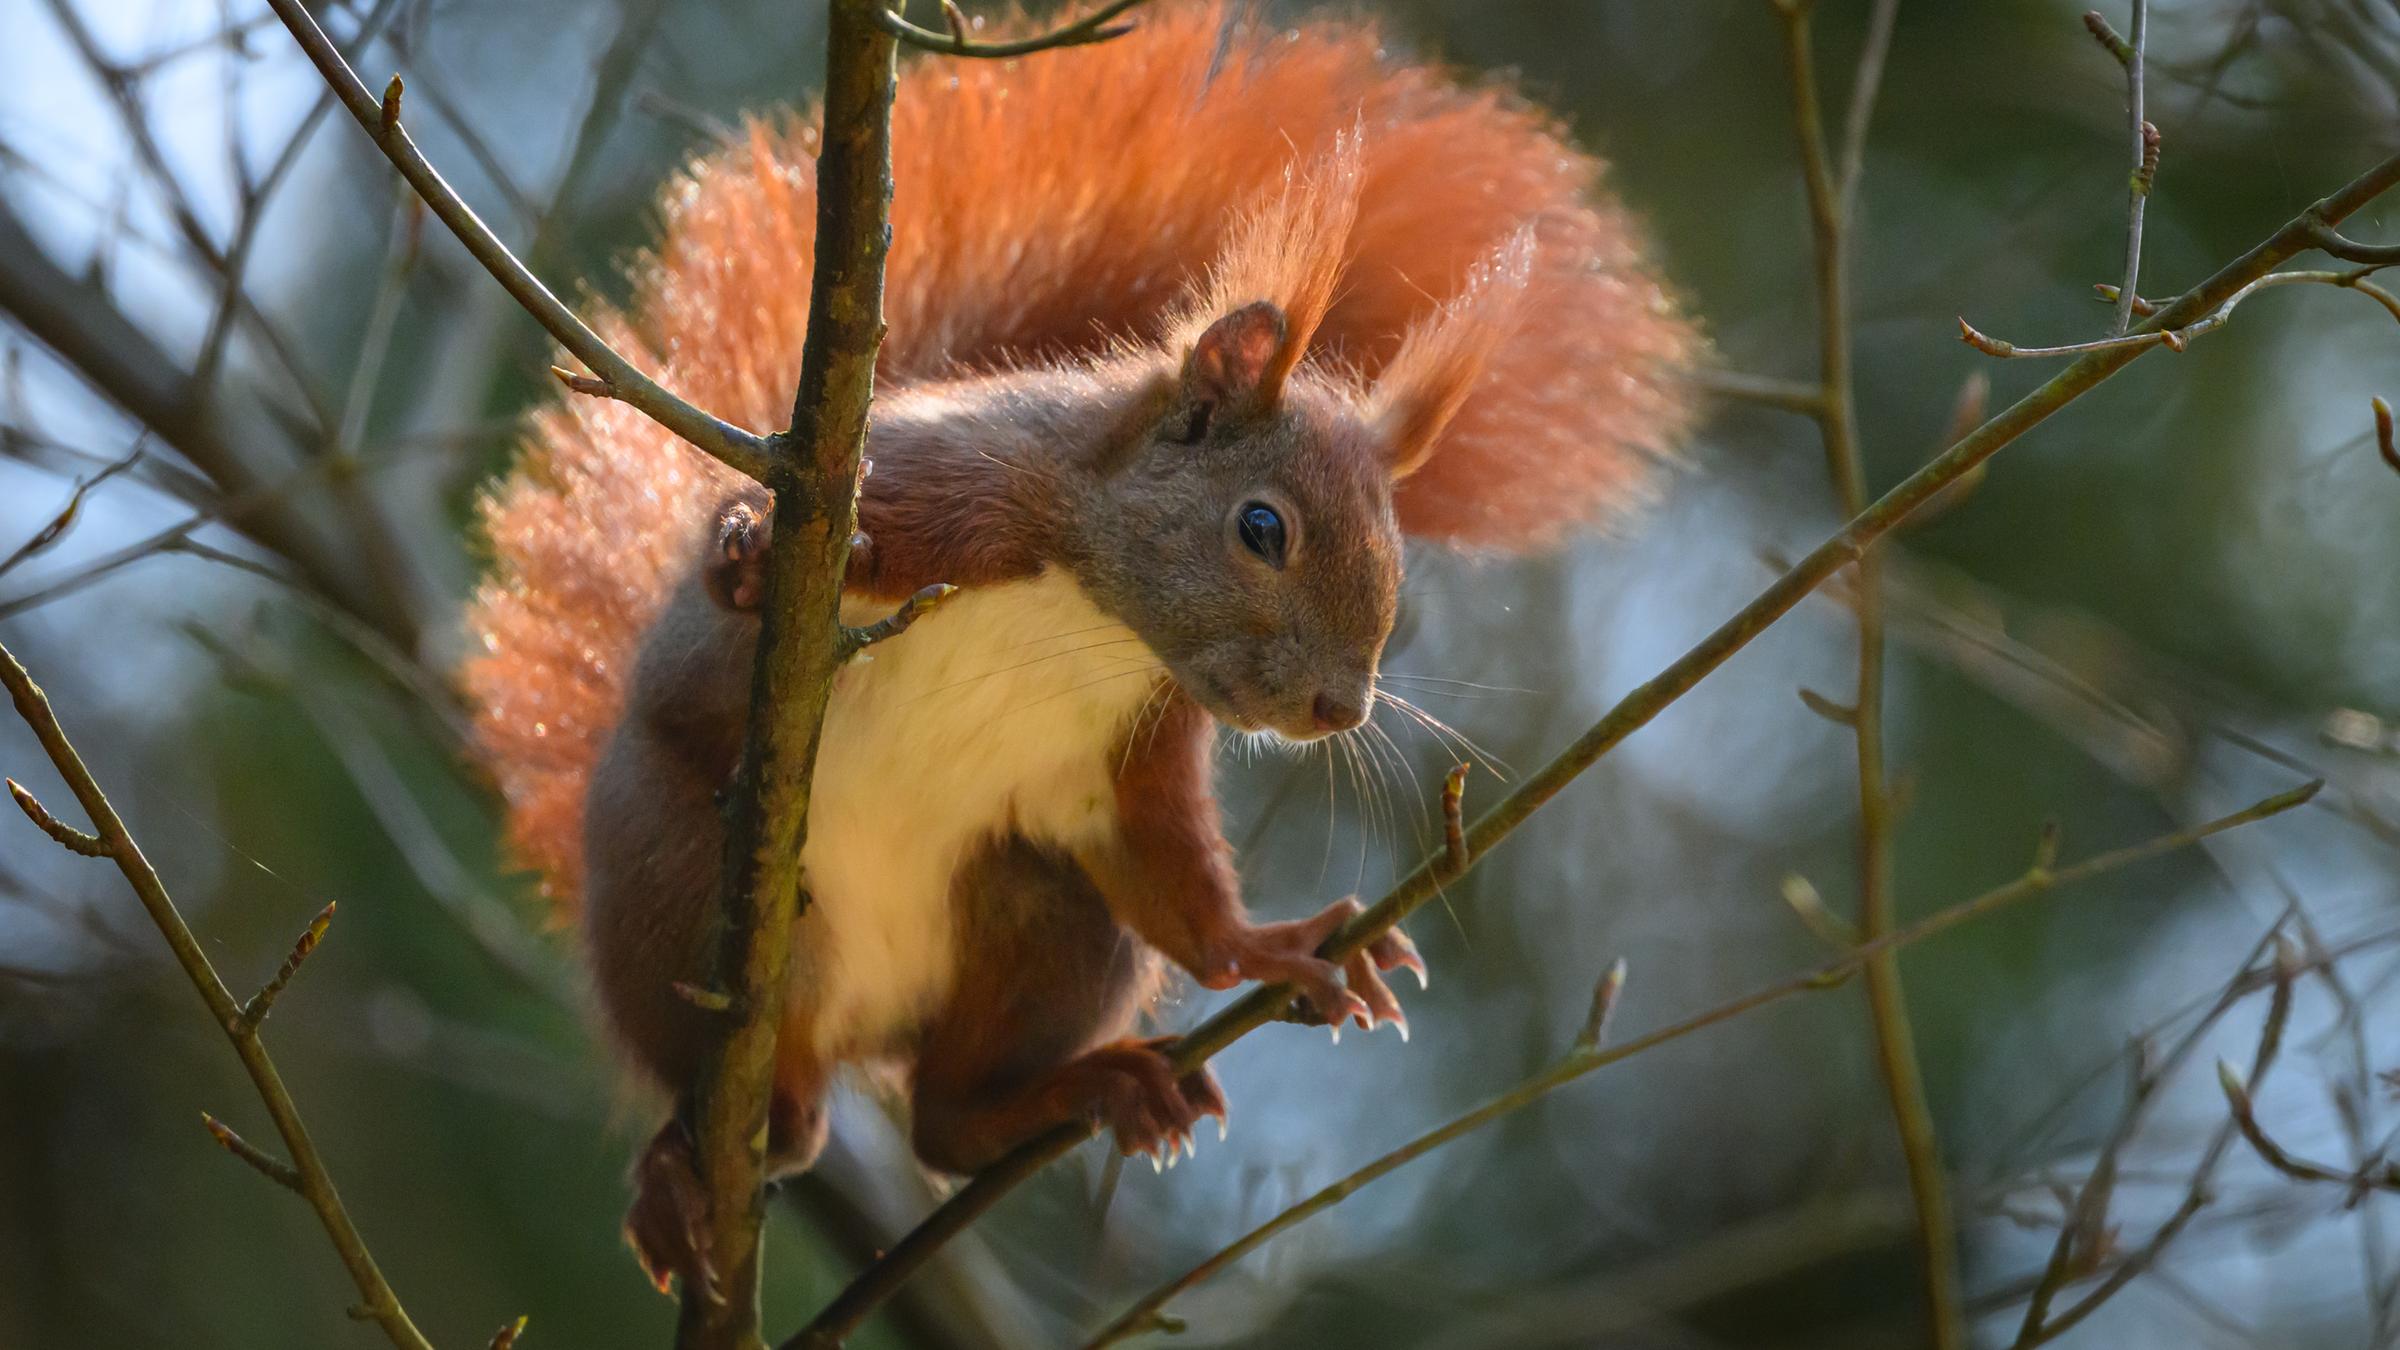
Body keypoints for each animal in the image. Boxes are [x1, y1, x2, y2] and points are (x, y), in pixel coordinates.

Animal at [463, 0, 1697, 1296]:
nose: (1340, 710)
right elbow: (781, 540)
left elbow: (1172, 880)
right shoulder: (951, 488)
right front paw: (748, 556)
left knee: (944, 1122)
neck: (1094, 618)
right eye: (1262, 527)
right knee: (708, 1060)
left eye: (1399, 566)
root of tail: (846, 1037)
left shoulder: (1135, 744)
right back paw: (678, 1170)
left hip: (1046, 917)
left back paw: (1079, 1093)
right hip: (678, 873)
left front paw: (1282, 946)